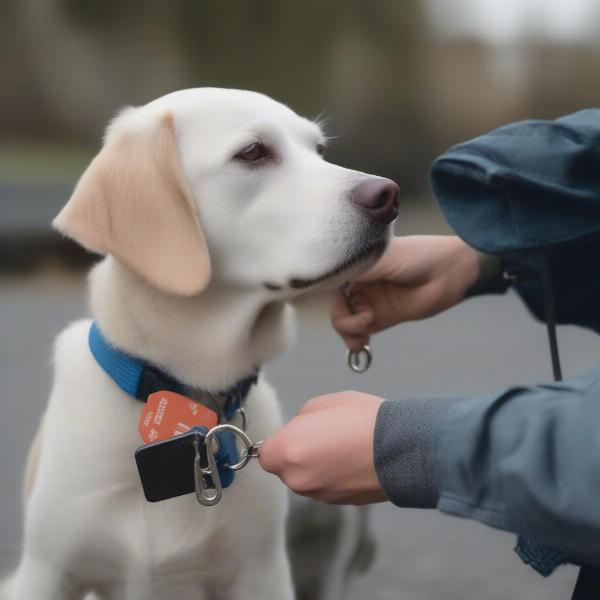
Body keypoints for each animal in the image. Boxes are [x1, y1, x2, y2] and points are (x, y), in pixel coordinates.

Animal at [3, 89, 398, 600]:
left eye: (320, 151)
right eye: (253, 152)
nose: (388, 196)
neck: (185, 395)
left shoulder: (260, 572)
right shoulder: (47, 570)